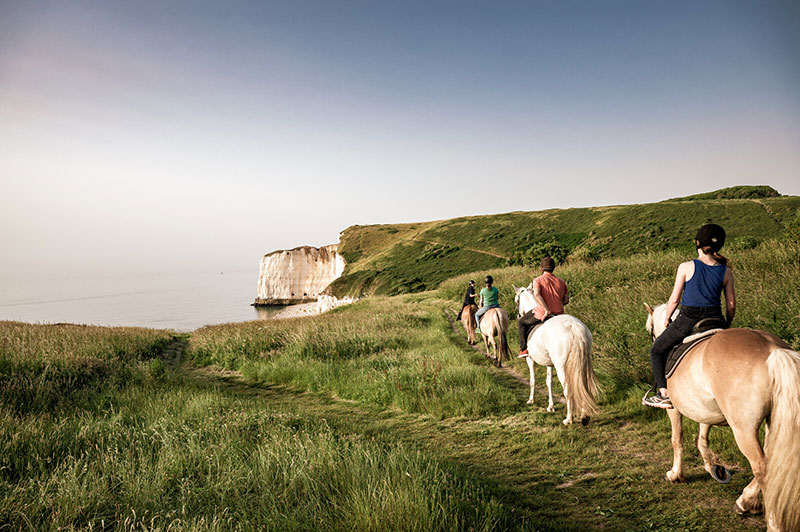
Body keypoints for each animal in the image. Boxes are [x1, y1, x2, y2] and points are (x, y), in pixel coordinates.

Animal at [512, 284, 600, 426]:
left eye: (516, 300)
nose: (518, 315)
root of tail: (574, 327)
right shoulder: (549, 363)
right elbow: (549, 382)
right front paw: (550, 406)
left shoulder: (530, 360)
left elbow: (532, 380)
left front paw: (531, 400)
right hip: (582, 363)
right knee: (581, 386)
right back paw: (584, 416)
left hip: (562, 367)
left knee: (569, 389)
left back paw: (568, 419)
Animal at [644, 302, 800, 528]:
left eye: (650, 331)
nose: (654, 338)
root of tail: (774, 350)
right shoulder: (706, 410)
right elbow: (702, 437)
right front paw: (713, 467)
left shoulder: (673, 408)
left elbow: (677, 439)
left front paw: (676, 475)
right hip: (773, 422)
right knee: (772, 464)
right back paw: (746, 501)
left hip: (743, 429)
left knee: (762, 469)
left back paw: (771, 522)